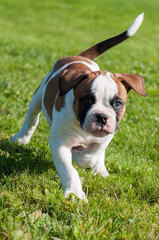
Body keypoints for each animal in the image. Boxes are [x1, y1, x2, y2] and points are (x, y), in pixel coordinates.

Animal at [9, 13, 147, 201]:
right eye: (87, 100)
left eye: (117, 103)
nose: (102, 117)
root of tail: (80, 57)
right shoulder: (59, 145)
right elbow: (69, 170)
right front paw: (75, 193)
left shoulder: (108, 134)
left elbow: (93, 154)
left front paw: (83, 156)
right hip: (38, 97)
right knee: (31, 118)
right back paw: (22, 138)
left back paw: (100, 169)